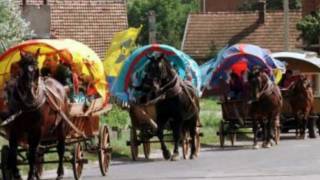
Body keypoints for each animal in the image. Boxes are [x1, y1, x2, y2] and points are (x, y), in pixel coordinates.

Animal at [0, 51, 69, 180]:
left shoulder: (37, 130)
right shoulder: (15, 130)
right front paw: (17, 173)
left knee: (60, 149)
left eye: (36, 68)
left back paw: (60, 173)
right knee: (38, 151)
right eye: (21, 68)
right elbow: (13, 153)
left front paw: (31, 175)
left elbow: (32, 154)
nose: (30, 94)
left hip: (61, 126)